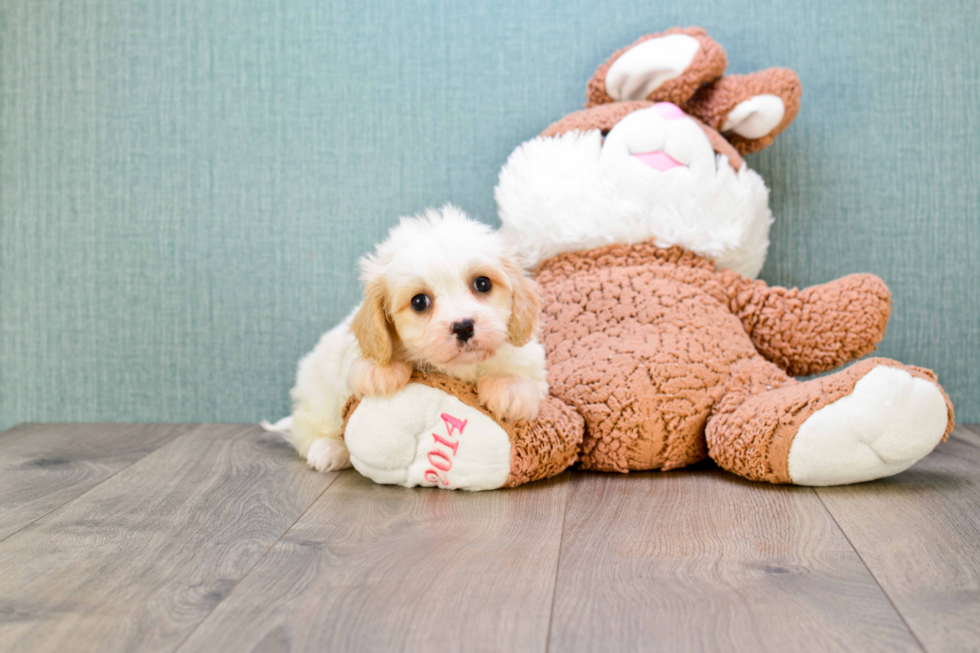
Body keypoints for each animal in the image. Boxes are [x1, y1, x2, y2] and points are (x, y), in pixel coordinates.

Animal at [264, 206, 548, 472]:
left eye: (483, 283)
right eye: (419, 302)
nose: (463, 327)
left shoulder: (531, 362)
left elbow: (520, 373)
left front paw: (508, 391)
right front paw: (379, 372)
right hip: (318, 391)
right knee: (306, 427)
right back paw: (328, 448)